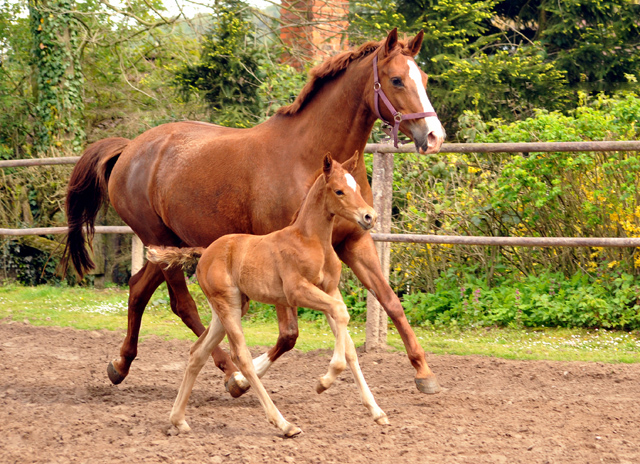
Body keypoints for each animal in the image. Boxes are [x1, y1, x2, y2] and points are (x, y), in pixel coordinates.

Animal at [63, 29, 444, 396]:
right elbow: (289, 333)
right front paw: (249, 376)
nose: (434, 136)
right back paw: (230, 372)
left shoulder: (355, 242)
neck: (308, 158)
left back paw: (120, 365)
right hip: (159, 242)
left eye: (424, 78)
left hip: (170, 246)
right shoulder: (280, 259)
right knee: (183, 304)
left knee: (139, 288)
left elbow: (390, 301)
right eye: (396, 80)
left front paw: (424, 373)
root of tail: (129, 148)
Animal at [149, 154, 388, 436]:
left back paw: (178, 420)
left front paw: (377, 412)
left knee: (197, 353)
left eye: (358, 188)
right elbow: (342, 316)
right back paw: (284, 424)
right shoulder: (298, 292)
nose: (369, 216)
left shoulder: (330, 291)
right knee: (241, 356)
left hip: (228, 309)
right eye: (339, 191)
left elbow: (349, 346)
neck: (311, 241)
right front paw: (324, 382)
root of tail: (205, 252)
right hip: (228, 307)